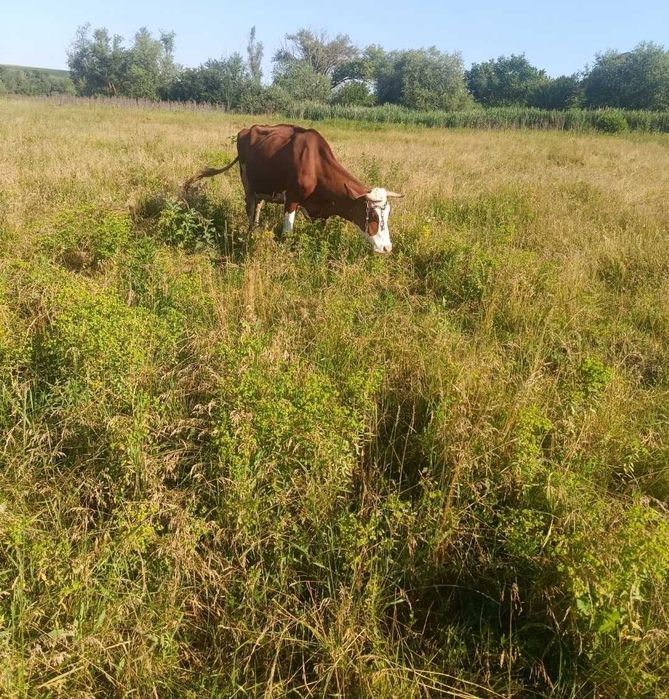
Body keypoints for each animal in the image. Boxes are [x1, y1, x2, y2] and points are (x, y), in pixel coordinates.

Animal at [183, 124, 402, 253]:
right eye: (372, 216)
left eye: (388, 214)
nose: (387, 247)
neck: (314, 163)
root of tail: (248, 129)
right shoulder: (292, 200)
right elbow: (287, 233)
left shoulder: (321, 210)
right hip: (248, 185)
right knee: (251, 209)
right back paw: (250, 235)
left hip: (263, 187)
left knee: (258, 208)